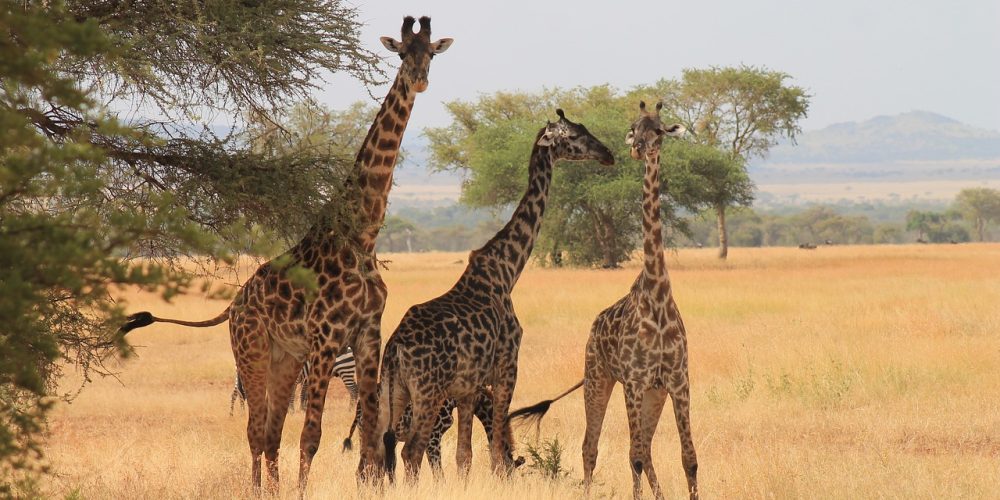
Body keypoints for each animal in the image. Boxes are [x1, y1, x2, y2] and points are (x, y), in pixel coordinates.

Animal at [117, 16, 454, 492]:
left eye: (431, 54)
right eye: (403, 53)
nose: (420, 80)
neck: (362, 237)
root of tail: (235, 304)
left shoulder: (367, 333)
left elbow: (370, 430)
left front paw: (366, 484)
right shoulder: (326, 335)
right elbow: (312, 434)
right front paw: (302, 491)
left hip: (285, 358)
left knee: (272, 432)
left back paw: (271, 489)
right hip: (252, 350)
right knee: (256, 431)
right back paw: (260, 490)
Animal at [376, 110, 616, 480]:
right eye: (575, 135)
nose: (608, 154)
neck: (507, 271)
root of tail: (396, 349)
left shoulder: (468, 387)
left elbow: (465, 455)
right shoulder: (506, 367)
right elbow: (498, 454)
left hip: (396, 392)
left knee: (380, 451)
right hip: (427, 392)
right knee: (411, 451)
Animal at [508, 99, 696, 498]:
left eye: (658, 130)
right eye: (633, 127)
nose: (637, 148)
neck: (657, 296)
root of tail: (593, 327)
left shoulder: (677, 380)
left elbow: (689, 459)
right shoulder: (636, 381)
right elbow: (633, 458)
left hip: (652, 393)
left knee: (644, 447)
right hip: (598, 377)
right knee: (593, 447)